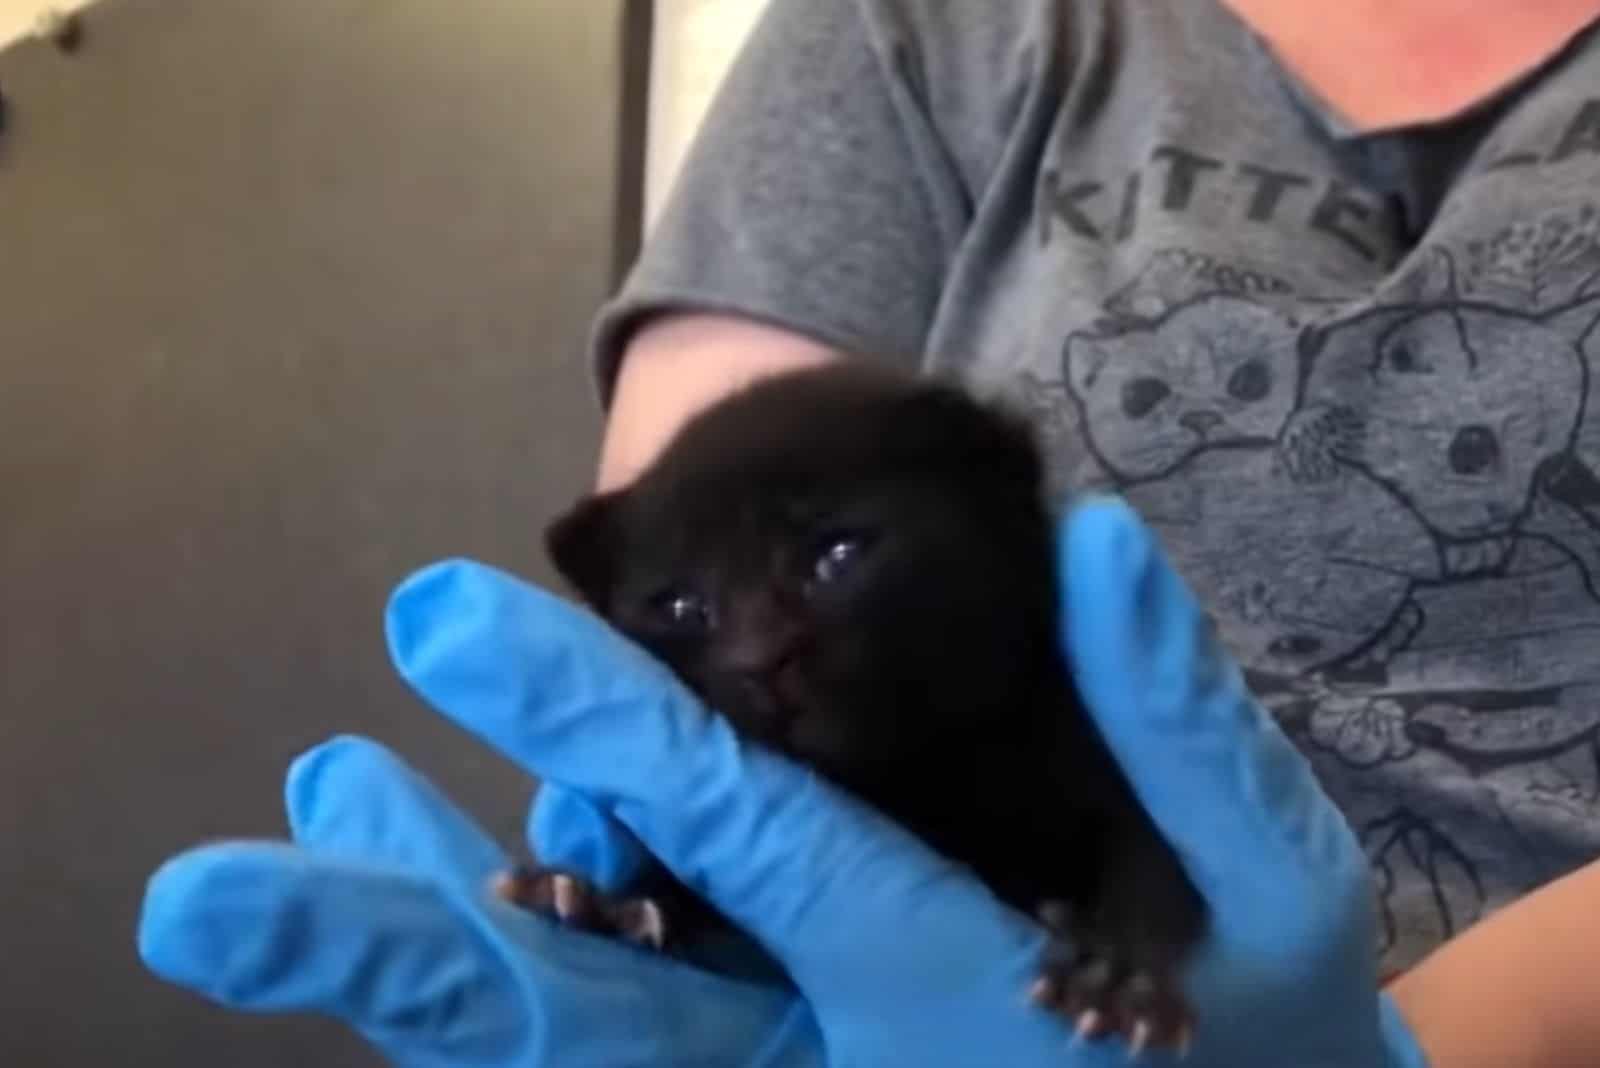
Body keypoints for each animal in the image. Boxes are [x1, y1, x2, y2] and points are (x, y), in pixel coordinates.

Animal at [505, 358, 1203, 1048]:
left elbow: (1152, 852)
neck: (916, 775)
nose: (760, 660)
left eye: (837, 554)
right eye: (680, 606)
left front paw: (1117, 971)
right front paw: (608, 907)